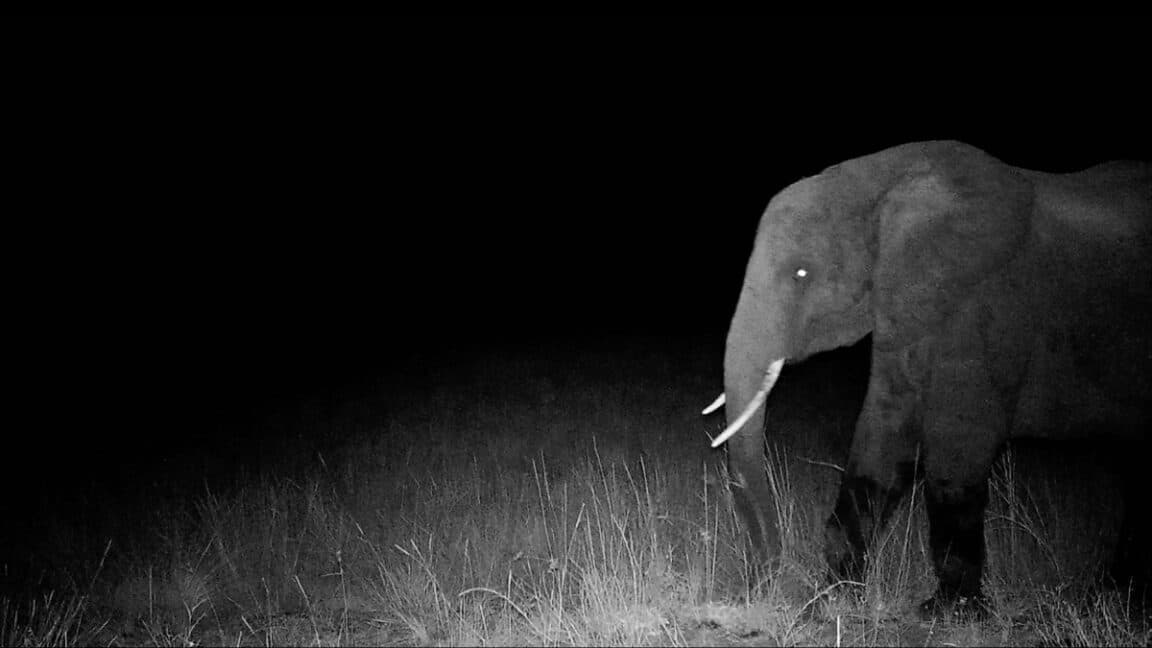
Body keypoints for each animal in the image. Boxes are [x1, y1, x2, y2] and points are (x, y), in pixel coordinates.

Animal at [705, 140, 1152, 616]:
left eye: (801, 274)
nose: (765, 583)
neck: (880, 181)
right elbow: (883, 437)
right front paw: (833, 598)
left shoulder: (984, 306)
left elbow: (959, 449)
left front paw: (948, 611)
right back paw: (1115, 594)